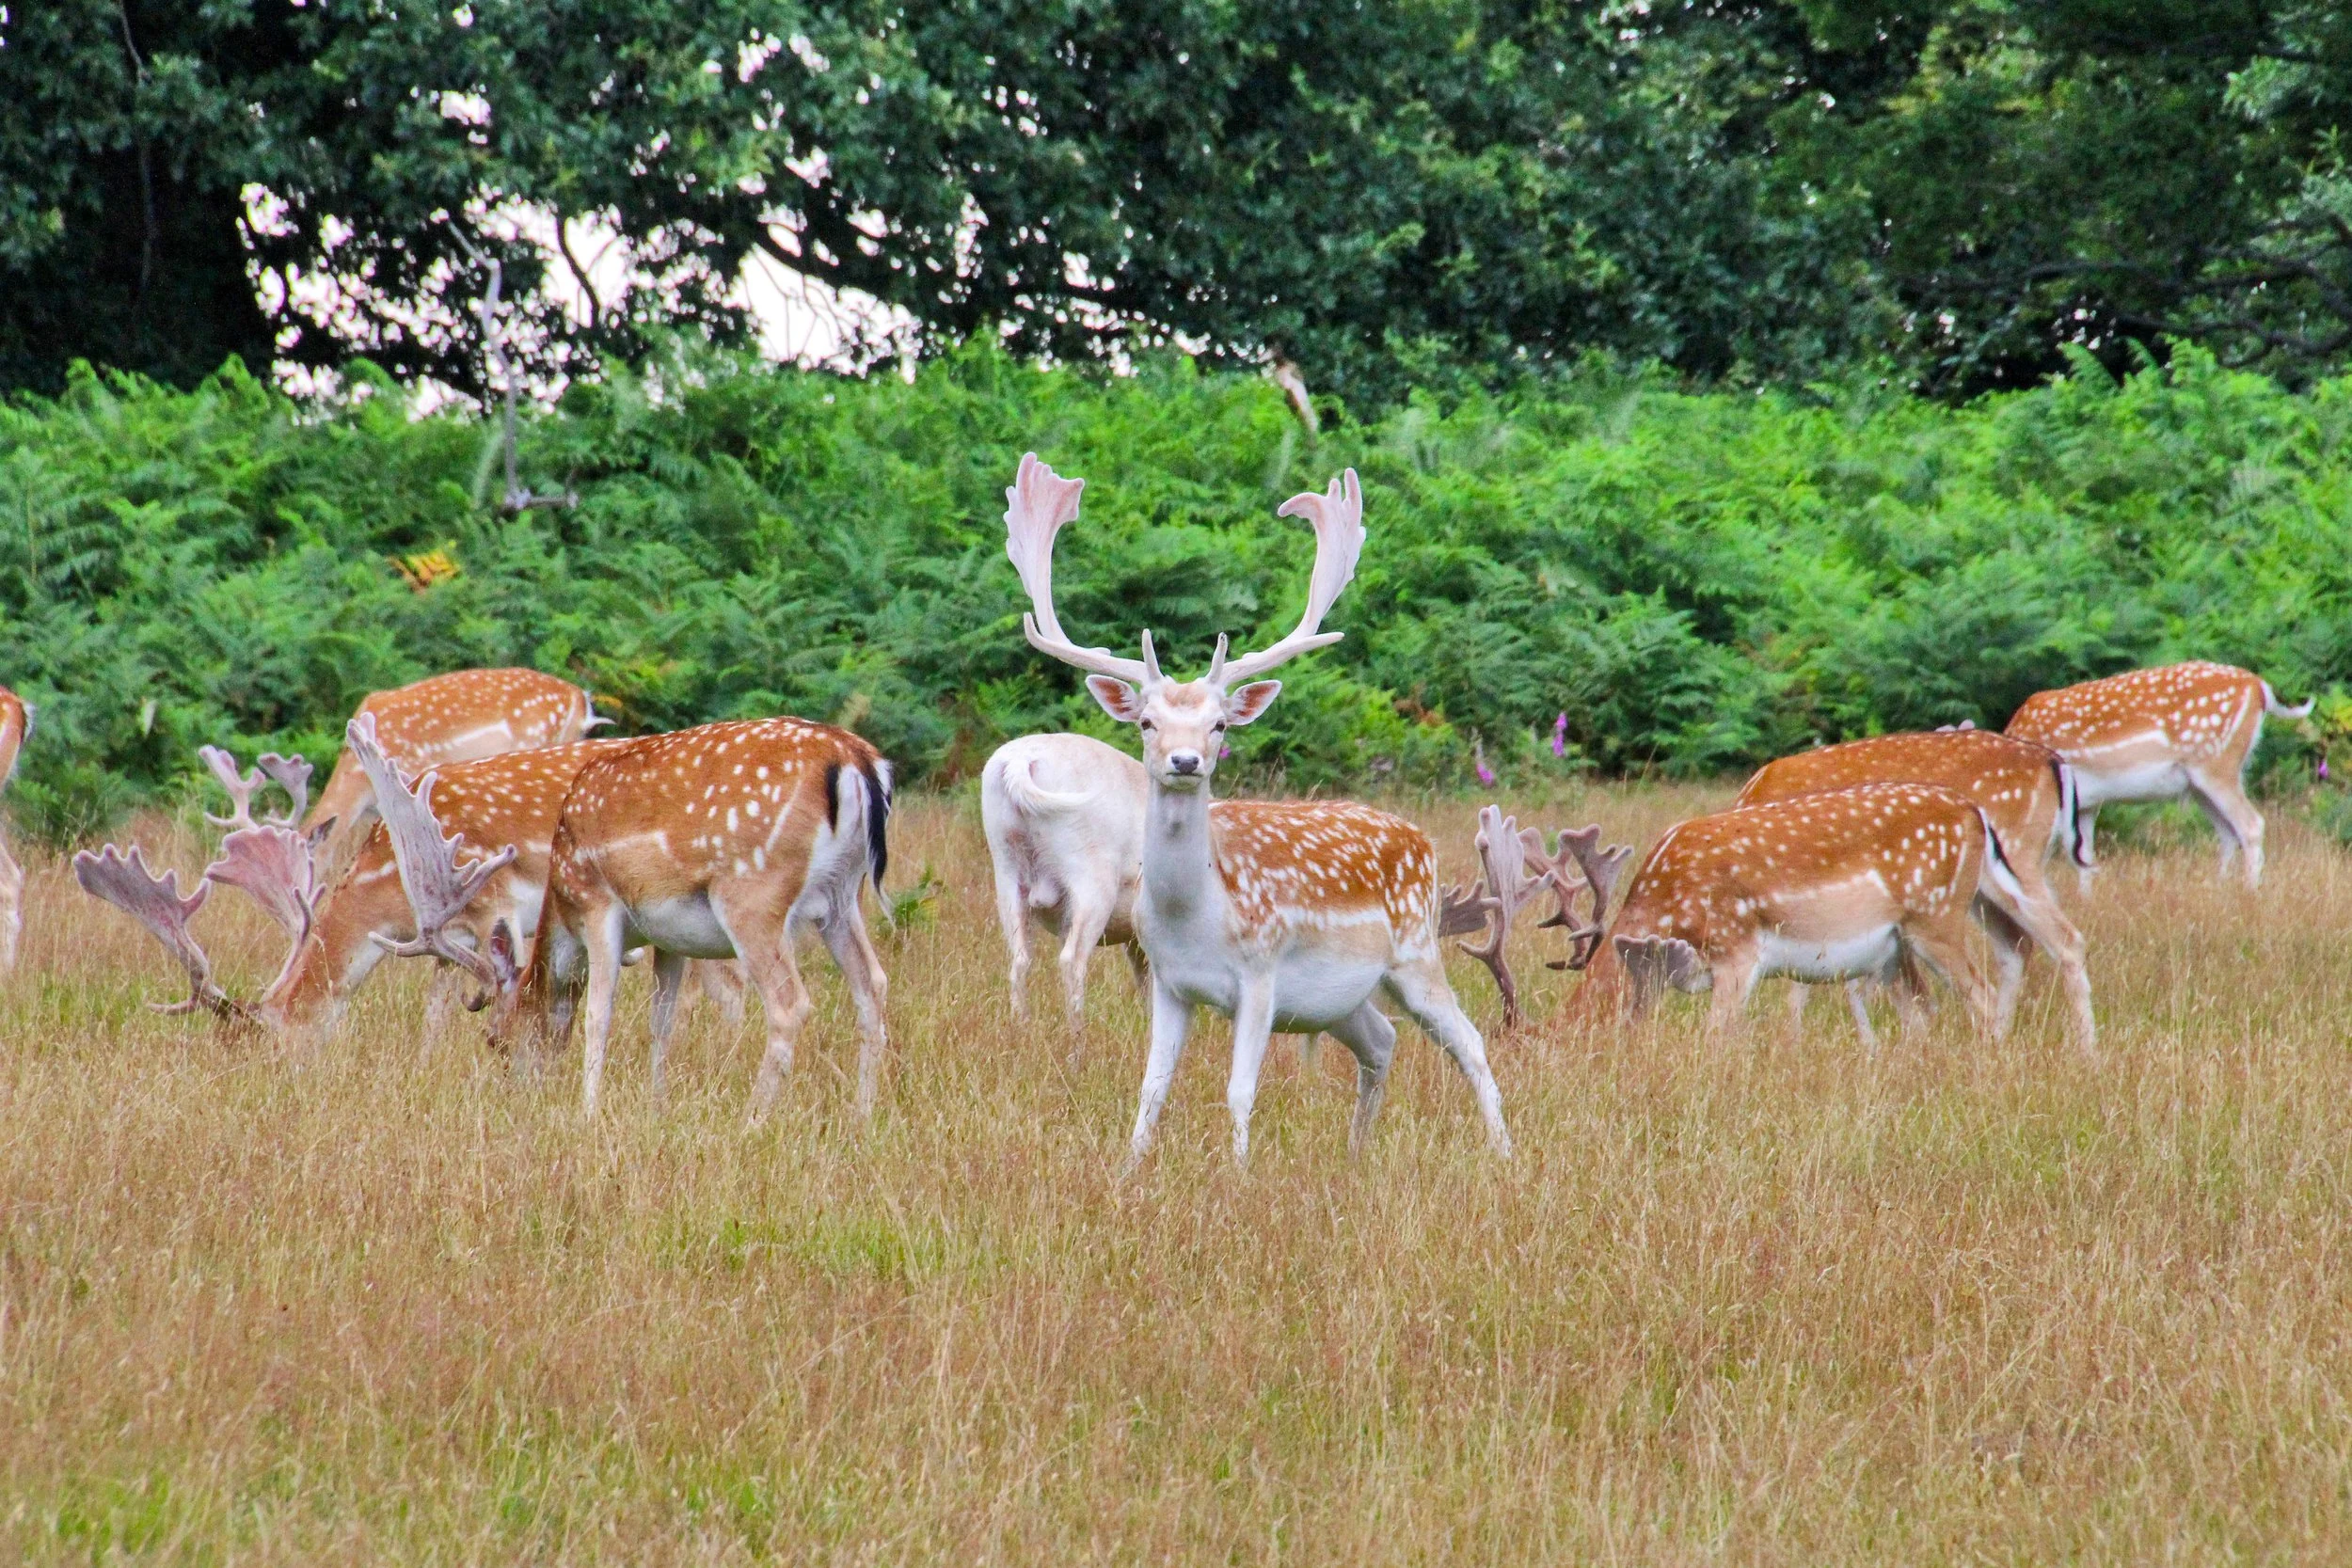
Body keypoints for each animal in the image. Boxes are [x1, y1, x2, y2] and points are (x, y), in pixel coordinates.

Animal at [493, 716, 893, 1118]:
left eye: (497, 1040)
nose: (517, 1094)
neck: (563, 902)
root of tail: (855, 758)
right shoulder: (669, 938)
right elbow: (661, 1020)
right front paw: (657, 1104)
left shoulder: (597, 902)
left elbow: (598, 1016)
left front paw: (588, 1111)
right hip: (842, 896)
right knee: (872, 983)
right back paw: (864, 1113)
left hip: (753, 893)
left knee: (789, 1004)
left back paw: (753, 1119)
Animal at [1002, 452, 1511, 1166]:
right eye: (1147, 722)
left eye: (1219, 724)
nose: (1185, 761)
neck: (1197, 917)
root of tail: (1420, 839)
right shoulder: (1170, 981)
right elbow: (1151, 1089)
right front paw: (1129, 1169)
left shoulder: (1262, 974)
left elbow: (1239, 1090)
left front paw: (1237, 1174)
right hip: (1340, 998)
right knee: (1382, 1040)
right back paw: (1356, 1152)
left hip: (1415, 953)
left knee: (1470, 1042)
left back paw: (1504, 1152)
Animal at [1561, 782, 2086, 1051]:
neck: (1667, 902)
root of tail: (1975, 812)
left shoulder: (1737, 949)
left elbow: (1716, 1038)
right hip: (1930, 925)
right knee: (2041, 944)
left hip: (1934, 916)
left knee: (1984, 994)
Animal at [1734, 729, 2097, 1049]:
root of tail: (2053, 761)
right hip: (1980, 889)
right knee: (2016, 944)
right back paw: (2005, 1037)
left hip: (2018, 856)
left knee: (2065, 939)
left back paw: (2085, 1051)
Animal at [2004, 660, 2312, 889]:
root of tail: (2259, 687)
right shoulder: (2086, 804)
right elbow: (2083, 857)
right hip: (2201, 782)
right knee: (2227, 832)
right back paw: (2218, 890)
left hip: (2216, 765)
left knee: (2251, 825)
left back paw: (2249, 892)